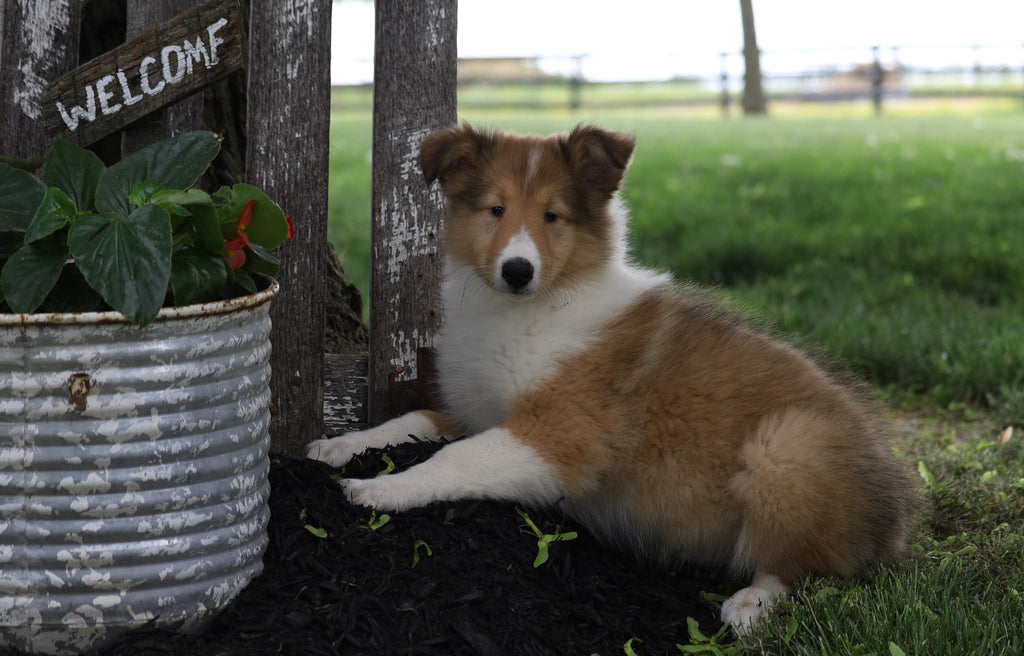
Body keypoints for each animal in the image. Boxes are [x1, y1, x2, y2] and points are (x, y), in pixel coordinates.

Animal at [309, 121, 921, 630]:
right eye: (495, 209)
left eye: (553, 216)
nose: (517, 271)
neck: (528, 310)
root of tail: (897, 512)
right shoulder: (475, 408)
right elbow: (409, 420)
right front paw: (339, 447)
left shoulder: (561, 435)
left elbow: (455, 459)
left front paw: (378, 490)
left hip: (786, 447)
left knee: (805, 568)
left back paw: (750, 605)